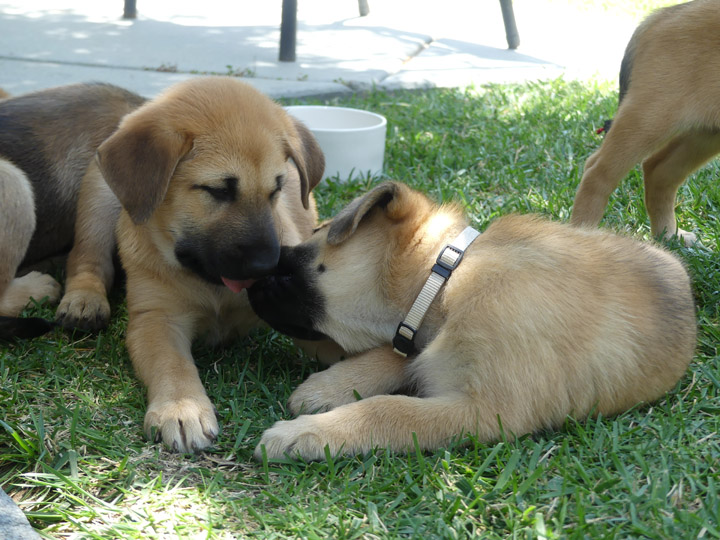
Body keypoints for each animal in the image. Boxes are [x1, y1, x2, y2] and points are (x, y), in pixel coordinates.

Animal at [94, 78, 324, 454]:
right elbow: (172, 363)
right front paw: (181, 408)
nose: (267, 267)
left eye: (277, 188)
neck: (211, 287)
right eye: (217, 190)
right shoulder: (156, 318)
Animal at [248, 182, 696, 460]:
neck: (448, 278)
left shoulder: (486, 410)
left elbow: (388, 409)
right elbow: (395, 357)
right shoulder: (425, 340)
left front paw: (303, 433)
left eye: (294, 262)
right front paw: (328, 387)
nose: (249, 282)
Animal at [572, 0, 716, 245]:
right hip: (650, 115)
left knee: (658, 170)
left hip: (705, 131)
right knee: (597, 172)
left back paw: (668, 234)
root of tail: (659, 15)